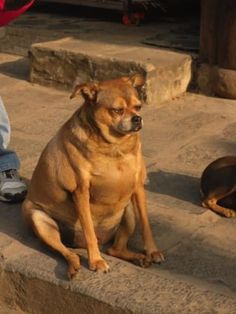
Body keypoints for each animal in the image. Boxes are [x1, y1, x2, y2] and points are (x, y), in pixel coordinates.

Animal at [23, 75, 165, 278]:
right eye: (117, 110)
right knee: (67, 251)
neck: (115, 148)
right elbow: (89, 230)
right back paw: (74, 266)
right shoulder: (81, 192)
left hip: (128, 212)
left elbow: (146, 225)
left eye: (138, 107)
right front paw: (96, 261)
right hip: (40, 220)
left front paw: (152, 252)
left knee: (114, 249)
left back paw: (139, 258)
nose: (137, 119)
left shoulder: (138, 187)